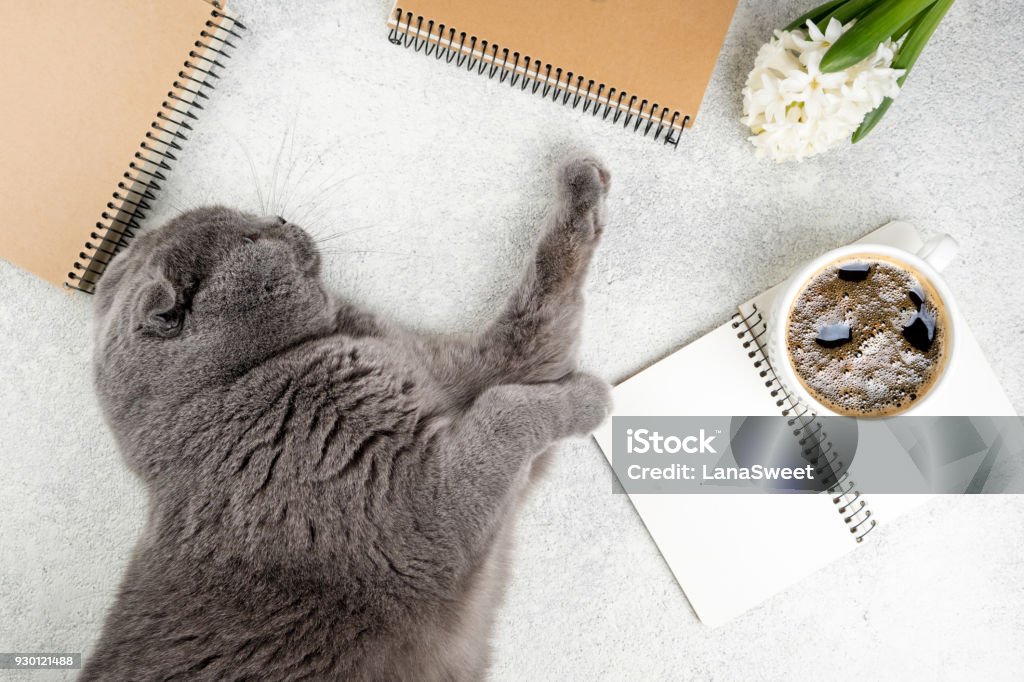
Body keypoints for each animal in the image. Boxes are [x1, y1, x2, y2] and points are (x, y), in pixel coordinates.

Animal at [83, 155, 610, 679]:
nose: (281, 219)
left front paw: (586, 186)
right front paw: (595, 398)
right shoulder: (431, 516)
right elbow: (507, 409)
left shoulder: (466, 367)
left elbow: (542, 297)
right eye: (249, 240)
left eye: (254, 222)